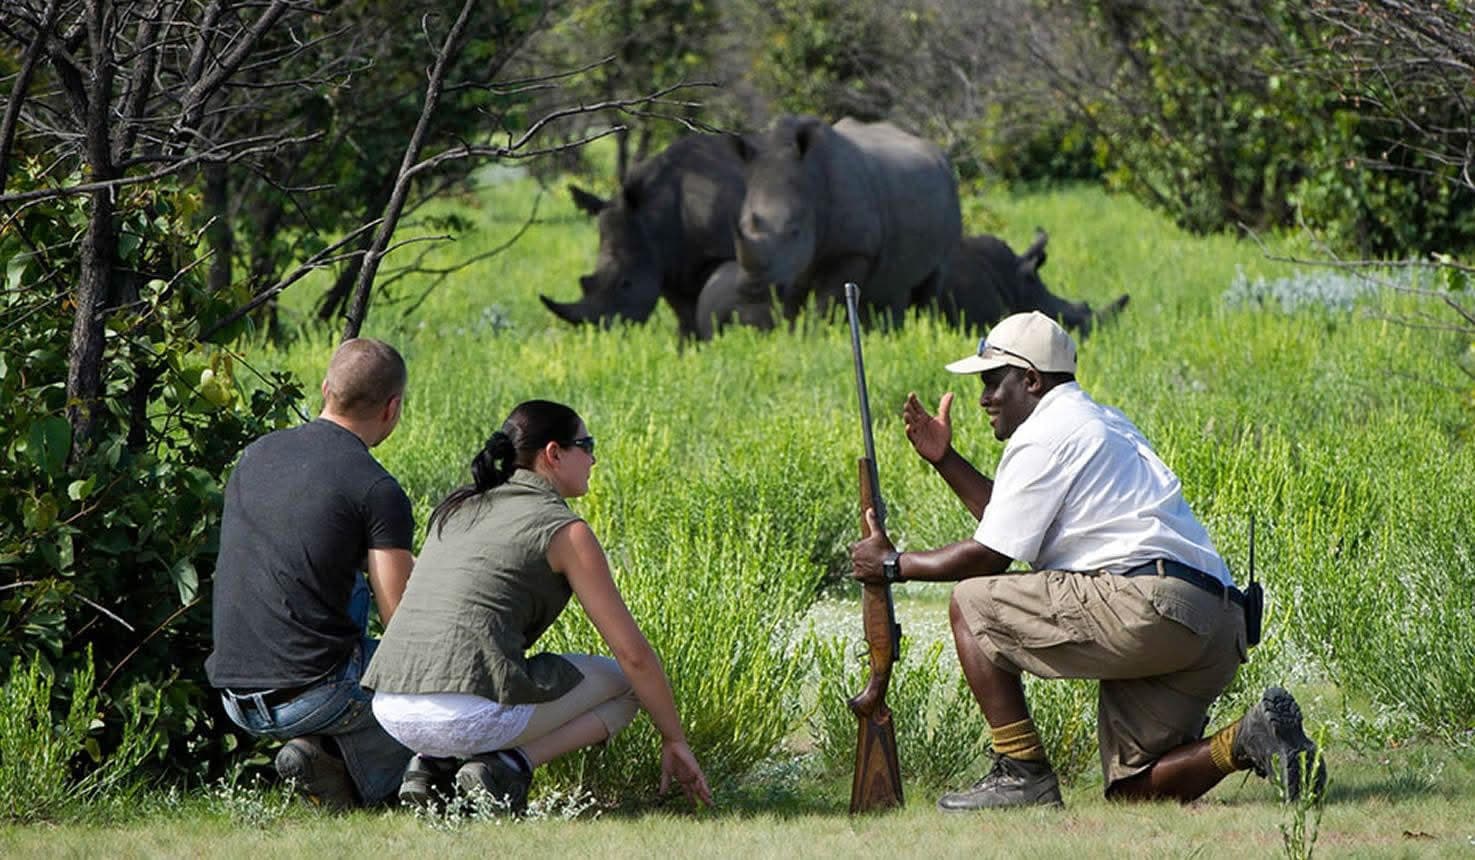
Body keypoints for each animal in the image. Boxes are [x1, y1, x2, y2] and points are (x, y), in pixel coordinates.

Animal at [730, 115, 962, 328]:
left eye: (794, 231)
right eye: (741, 226)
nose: (753, 290)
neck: (811, 181)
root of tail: (940, 153)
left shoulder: (854, 251)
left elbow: (826, 303)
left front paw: (819, 333)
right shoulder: (792, 266)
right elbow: (791, 307)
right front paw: (794, 335)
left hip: (950, 194)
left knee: (931, 282)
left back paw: (922, 328)